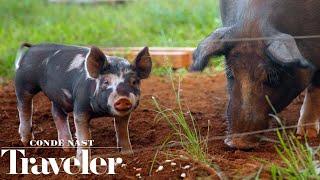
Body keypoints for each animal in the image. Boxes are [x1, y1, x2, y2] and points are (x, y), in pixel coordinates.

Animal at [13, 43, 151, 158]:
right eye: (106, 82)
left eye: (134, 82)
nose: (123, 99)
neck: (102, 112)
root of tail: (32, 47)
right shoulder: (80, 106)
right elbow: (83, 134)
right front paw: (82, 163)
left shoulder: (124, 114)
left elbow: (122, 131)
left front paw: (128, 154)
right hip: (23, 83)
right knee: (23, 107)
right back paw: (26, 142)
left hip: (57, 97)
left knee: (57, 114)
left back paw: (67, 149)